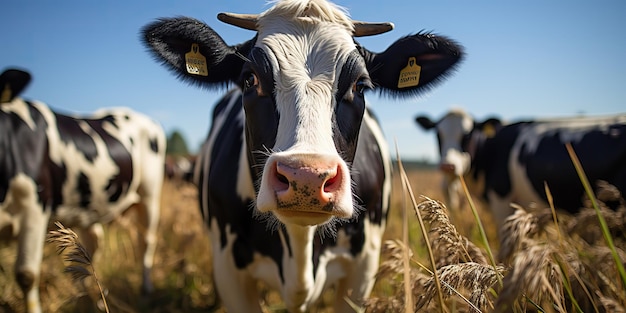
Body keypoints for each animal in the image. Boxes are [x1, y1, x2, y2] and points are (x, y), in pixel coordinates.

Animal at [0, 68, 166, 312]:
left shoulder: (34, 210)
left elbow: (26, 275)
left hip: (149, 196)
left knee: (146, 242)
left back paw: (145, 292)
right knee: (92, 247)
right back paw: (86, 296)